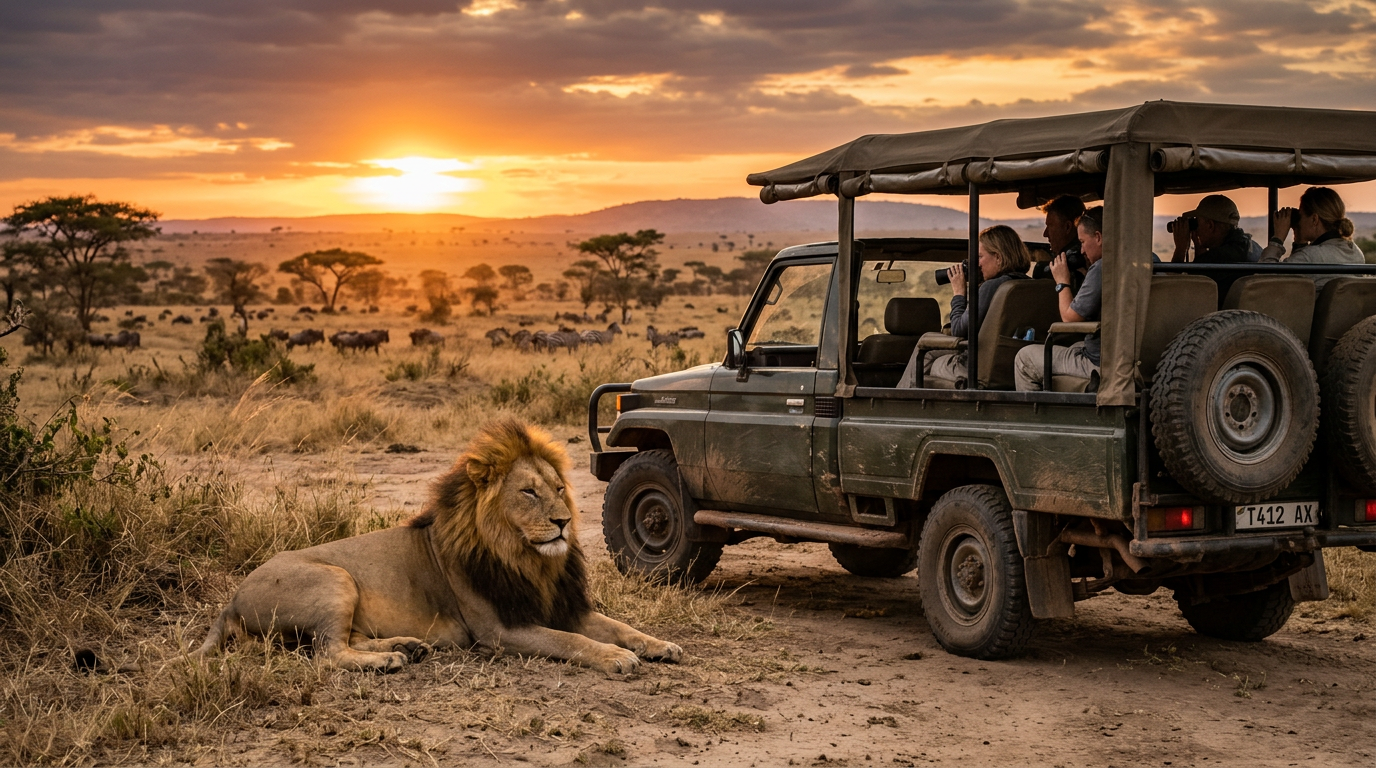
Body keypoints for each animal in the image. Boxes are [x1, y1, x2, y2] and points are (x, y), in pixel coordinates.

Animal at [191, 419, 681, 674]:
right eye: (528, 492)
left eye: (560, 488)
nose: (563, 523)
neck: (528, 561)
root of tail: (232, 597)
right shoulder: (500, 631)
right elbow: (570, 642)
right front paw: (616, 657)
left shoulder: (564, 606)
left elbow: (620, 625)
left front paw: (660, 645)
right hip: (335, 577)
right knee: (327, 652)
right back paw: (390, 660)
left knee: (342, 640)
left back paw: (409, 646)